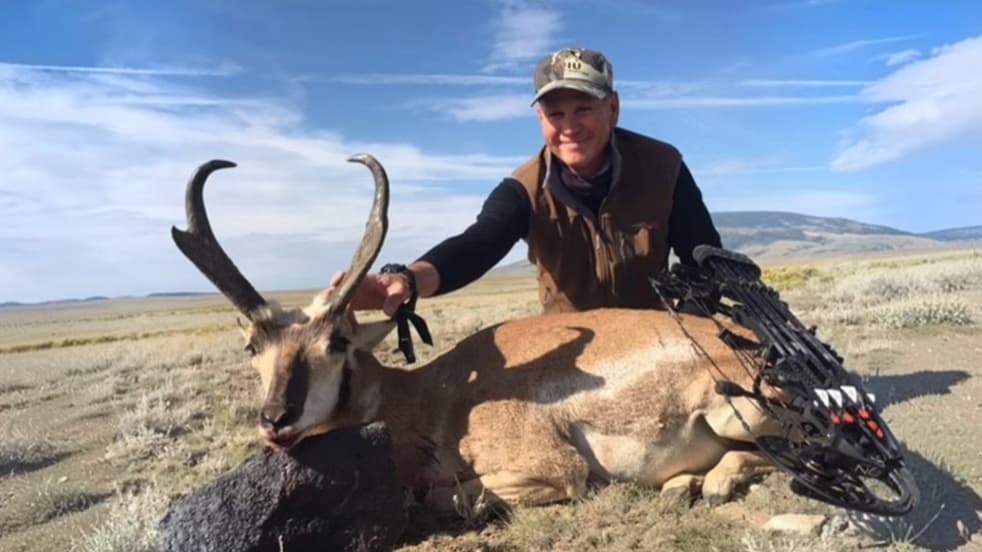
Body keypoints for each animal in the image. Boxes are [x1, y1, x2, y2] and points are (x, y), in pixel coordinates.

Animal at [172, 155, 780, 512]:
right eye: (253, 346)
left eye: (337, 342)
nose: (276, 420)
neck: (423, 397)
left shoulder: (554, 472)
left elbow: (452, 498)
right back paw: (686, 484)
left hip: (739, 415)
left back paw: (710, 482)